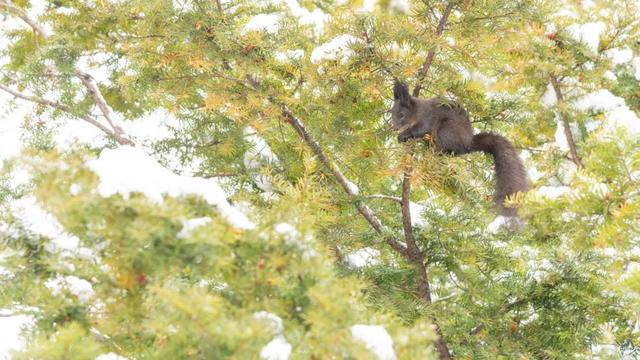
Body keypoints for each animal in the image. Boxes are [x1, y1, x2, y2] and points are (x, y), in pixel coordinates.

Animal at [390, 81, 528, 217]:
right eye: (391, 112)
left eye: (401, 115)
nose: (394, 127)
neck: (417, 111)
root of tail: (468, 143)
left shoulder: (426, 119)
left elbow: (418, 130)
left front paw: (403, 135)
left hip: (446, 130)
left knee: (448, 150)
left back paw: (435, 153)